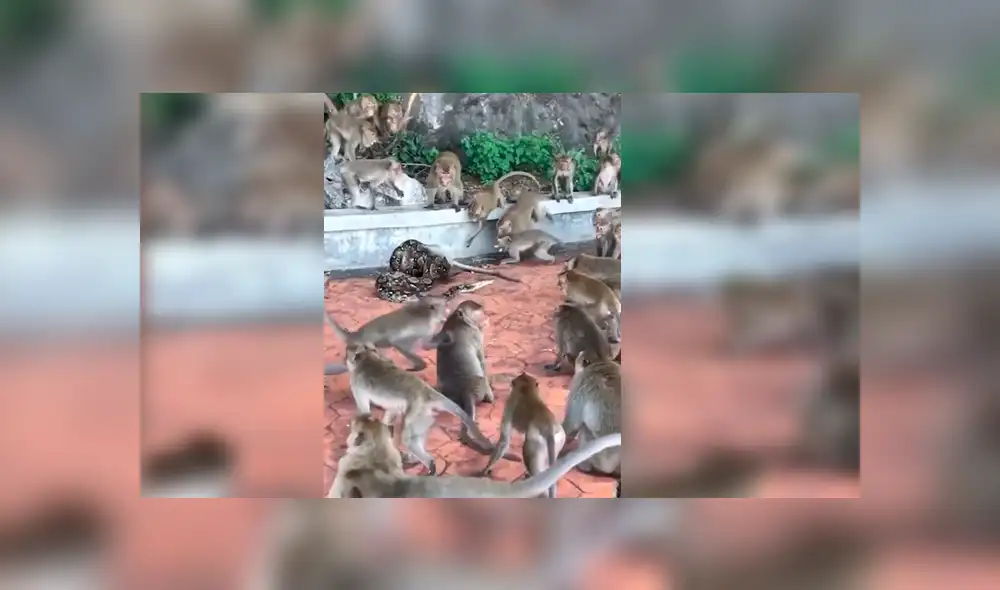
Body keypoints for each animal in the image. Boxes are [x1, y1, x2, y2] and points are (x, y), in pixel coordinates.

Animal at [343, 341, 502, 475]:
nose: (347, 360)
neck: (368, 358)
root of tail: (426, 391)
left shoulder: (356, 383)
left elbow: (365, 413)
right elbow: (392, 410)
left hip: (417, 411)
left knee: (407, 437)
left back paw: (429, 464)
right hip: (424, 414)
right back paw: (414, 459)